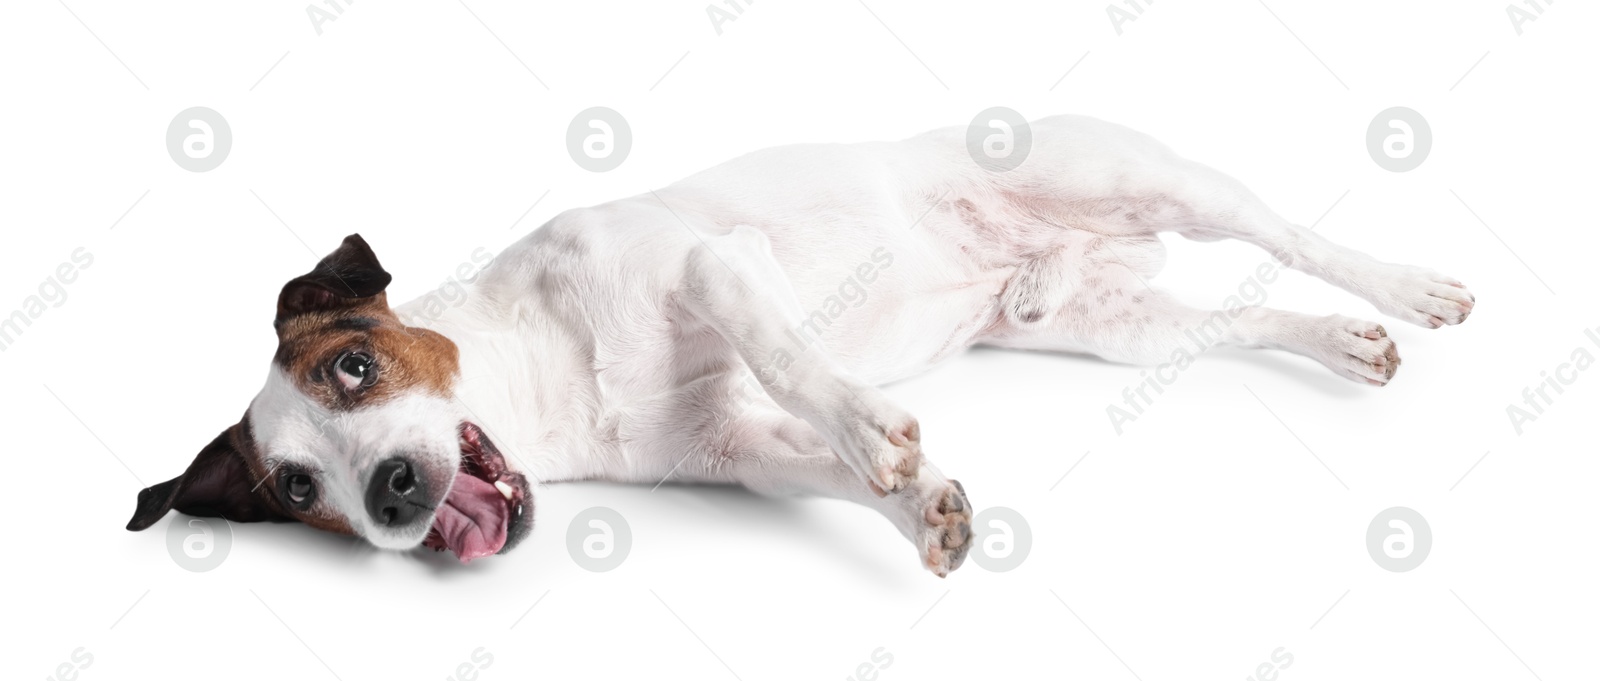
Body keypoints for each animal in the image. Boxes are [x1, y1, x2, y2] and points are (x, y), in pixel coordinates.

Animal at [124, 115, 1472, 575]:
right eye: (303, 491)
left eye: (354, 368)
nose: (396, 495)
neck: (546, 387)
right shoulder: (738, 455)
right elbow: (838, 478)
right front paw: (921, 503)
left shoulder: (711, 268)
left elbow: (788, 357)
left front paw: (874, 423)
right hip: (1117, 334)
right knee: (1235, 316)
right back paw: (1346, 342)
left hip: (1137, 181)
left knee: (1284, 231)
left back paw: (1405, 287)